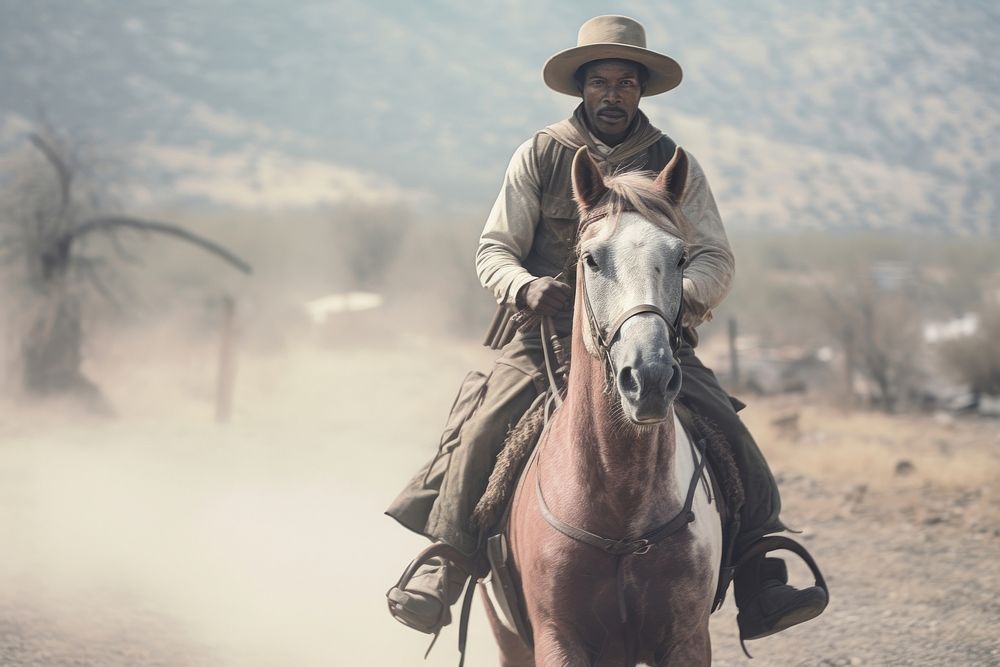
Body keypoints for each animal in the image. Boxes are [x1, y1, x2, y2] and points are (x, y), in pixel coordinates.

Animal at [482, 147, 720, 667]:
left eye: (680, 257)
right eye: (590, 259)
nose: (649, 378)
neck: (621, 502)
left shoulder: (687, 637)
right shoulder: (558, 638)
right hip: (508, 636)